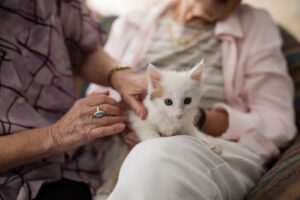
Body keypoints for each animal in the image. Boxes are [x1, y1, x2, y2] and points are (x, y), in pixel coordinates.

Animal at [95, 60, 221, 199]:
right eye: (168, 102)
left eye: (188, 101)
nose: (179, 115)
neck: (168, 119)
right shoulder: (138, 118)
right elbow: (152, 137)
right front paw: (155, 141)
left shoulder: (186, 124)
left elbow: (195, 133)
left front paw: (211, 143)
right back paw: (104, 191)